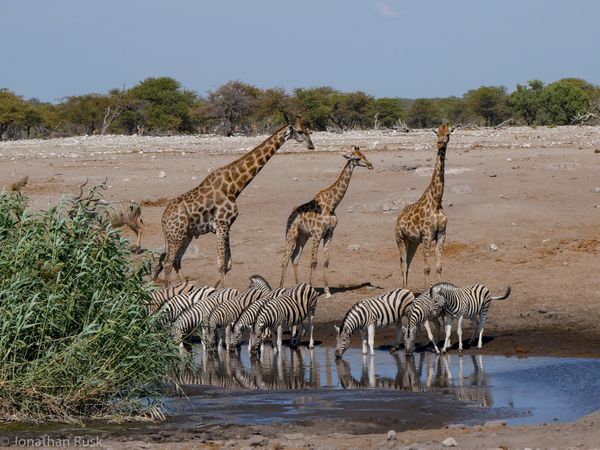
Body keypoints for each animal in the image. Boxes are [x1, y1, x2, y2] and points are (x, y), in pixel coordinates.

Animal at [154, 114, 314, 286]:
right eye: (300, 131)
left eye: (308, 130)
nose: (311, 145)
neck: (234, 185)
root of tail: (163, 220)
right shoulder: (221, 225)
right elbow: (220, 264)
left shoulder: (226, 226)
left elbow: (227, 264)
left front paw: (216, 288)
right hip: (176, 235)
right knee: (168, 262)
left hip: (186, 235)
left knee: (176, 261)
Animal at [280, 146, 372, 298]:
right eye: (357, 158)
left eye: (364, 155)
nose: (370, 165)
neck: (332, 205)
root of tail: (291, 214)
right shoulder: (317, 233)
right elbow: (313, 262)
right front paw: (310, 289)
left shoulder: (329, 233)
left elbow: (326, 262)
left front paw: (328, 292)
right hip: (291, 234)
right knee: (285, 259)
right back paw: (280, 288)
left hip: (303, 236)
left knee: (295, 257)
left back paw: (296, 287)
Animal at [394, 123, 454, 288]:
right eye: (437, 134)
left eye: (448, 134)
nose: (439, 143)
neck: (437, 201)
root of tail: (398, 216)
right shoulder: (427, 236)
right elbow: (426, 269)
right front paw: (427, 291)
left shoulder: (441, 234)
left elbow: (439, 267)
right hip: (399, 238)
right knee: (403, 263)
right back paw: (405, 289)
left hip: (412, 241)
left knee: (407, 262)